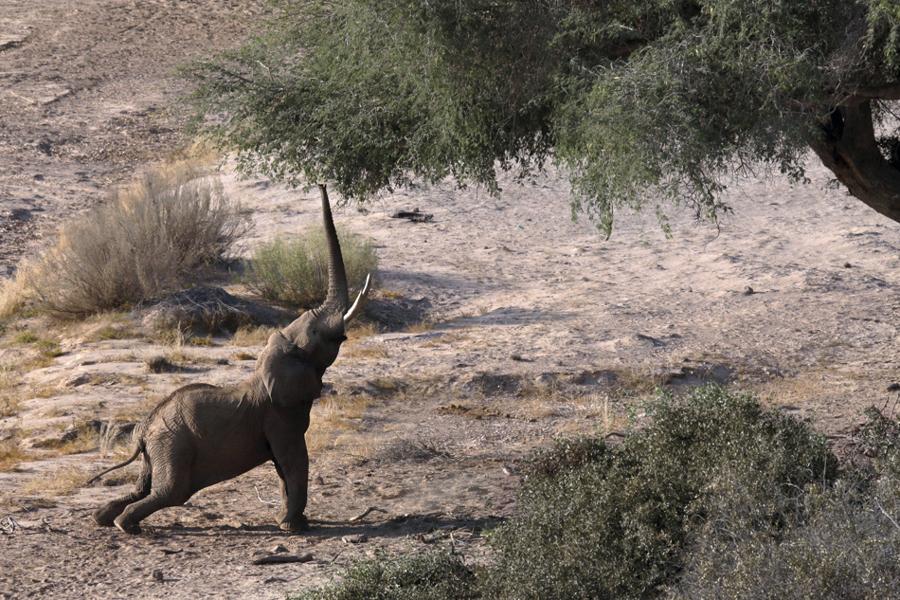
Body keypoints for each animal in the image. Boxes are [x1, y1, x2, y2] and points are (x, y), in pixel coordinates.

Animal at [89, 184, 372, 536]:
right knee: (171, 492)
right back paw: (126, 525)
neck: (271, 360)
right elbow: (294, 460)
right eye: (318, 332)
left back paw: (103, 517)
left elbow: (284, 466)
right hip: (173, 444)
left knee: (144, 488)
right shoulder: (280, 416)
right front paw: (293, 528)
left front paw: (292, 523)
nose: (320, 184)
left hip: (161, 447)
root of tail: (143, 430)